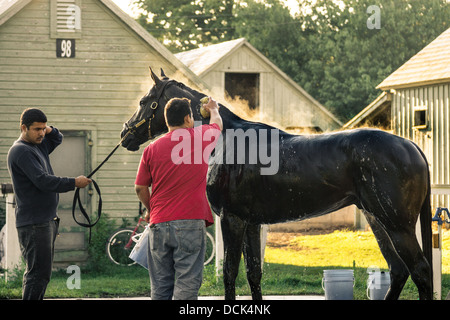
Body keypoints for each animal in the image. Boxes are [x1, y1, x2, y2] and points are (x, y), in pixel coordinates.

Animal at [121, 68, 434, 300]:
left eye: (143, 101)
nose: (125, 135)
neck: (225, 140)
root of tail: (412, 146)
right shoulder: (252, 223)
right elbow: (253, 274)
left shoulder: (232, 220)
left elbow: (230, 274)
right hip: (377, 220)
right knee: (398, 271)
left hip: (397, 225)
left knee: (420, 270)